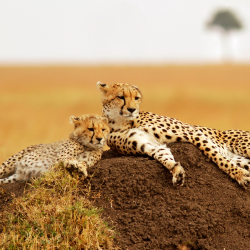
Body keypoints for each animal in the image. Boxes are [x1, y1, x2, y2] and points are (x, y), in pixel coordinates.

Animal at [96, 81, 250, 188]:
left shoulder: (193, 133)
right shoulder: (148, 144)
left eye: (136, 98)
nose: (132, 109)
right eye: (120, 97)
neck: (122, 122)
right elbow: (163, 155)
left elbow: (216, 155)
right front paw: (177, 171)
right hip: (242, 159)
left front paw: (240, 174)